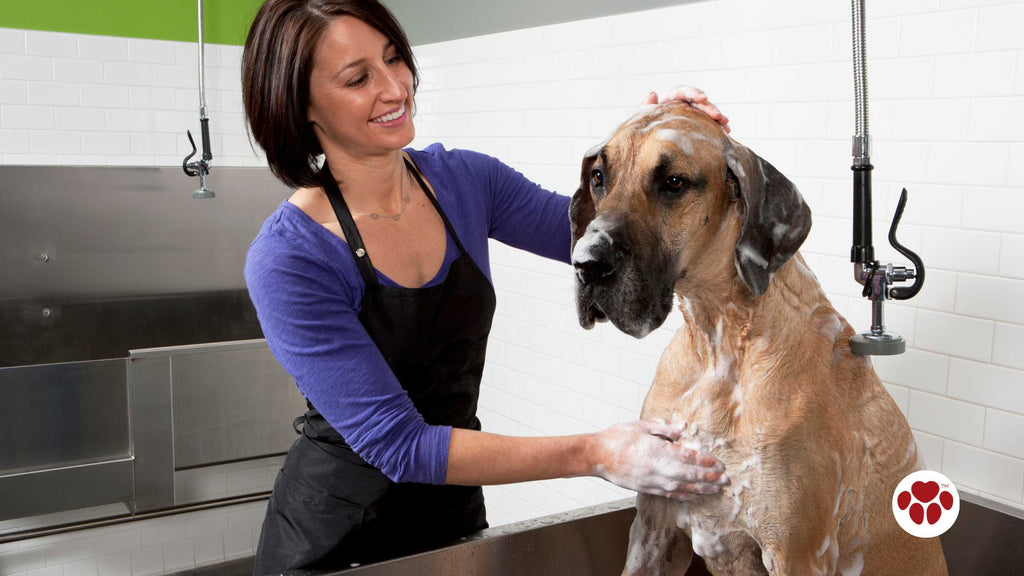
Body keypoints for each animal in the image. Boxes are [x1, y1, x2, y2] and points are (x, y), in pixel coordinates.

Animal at [569, 103, 942, 573]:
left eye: (673, 182)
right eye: (599, 176)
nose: (585, 263)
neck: (719, 342)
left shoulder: (795, 554)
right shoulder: (653, 527)